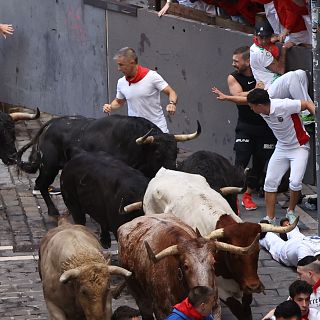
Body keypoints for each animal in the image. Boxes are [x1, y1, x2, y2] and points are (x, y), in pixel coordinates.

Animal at [17, 114, 200, 216]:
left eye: (176, 151)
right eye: (157, 153)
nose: (174, 173)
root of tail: (50, 124)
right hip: (49, 167)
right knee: (41, 184)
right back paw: (53, 212)